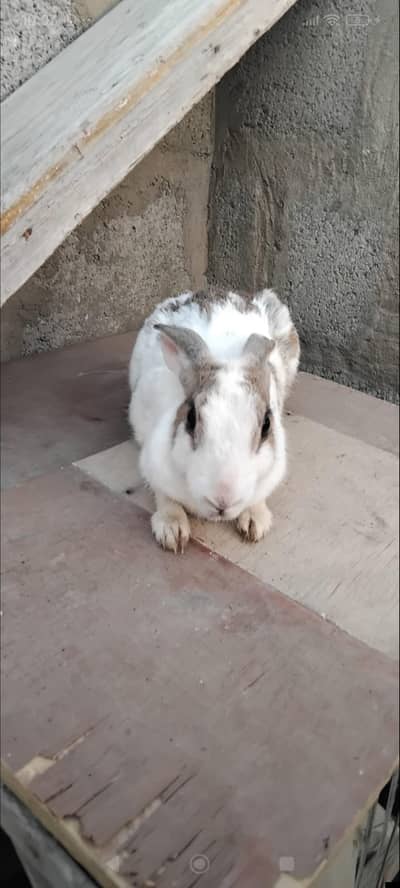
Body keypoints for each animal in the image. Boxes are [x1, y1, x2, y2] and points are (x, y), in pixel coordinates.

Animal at [128, 288, 300, 552]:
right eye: (191, 418)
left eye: (267, 425)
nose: (223, 499)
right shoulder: (152, 462)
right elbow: (164, 496)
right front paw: (172, 530)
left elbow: (258, 498)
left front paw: (255, 523)